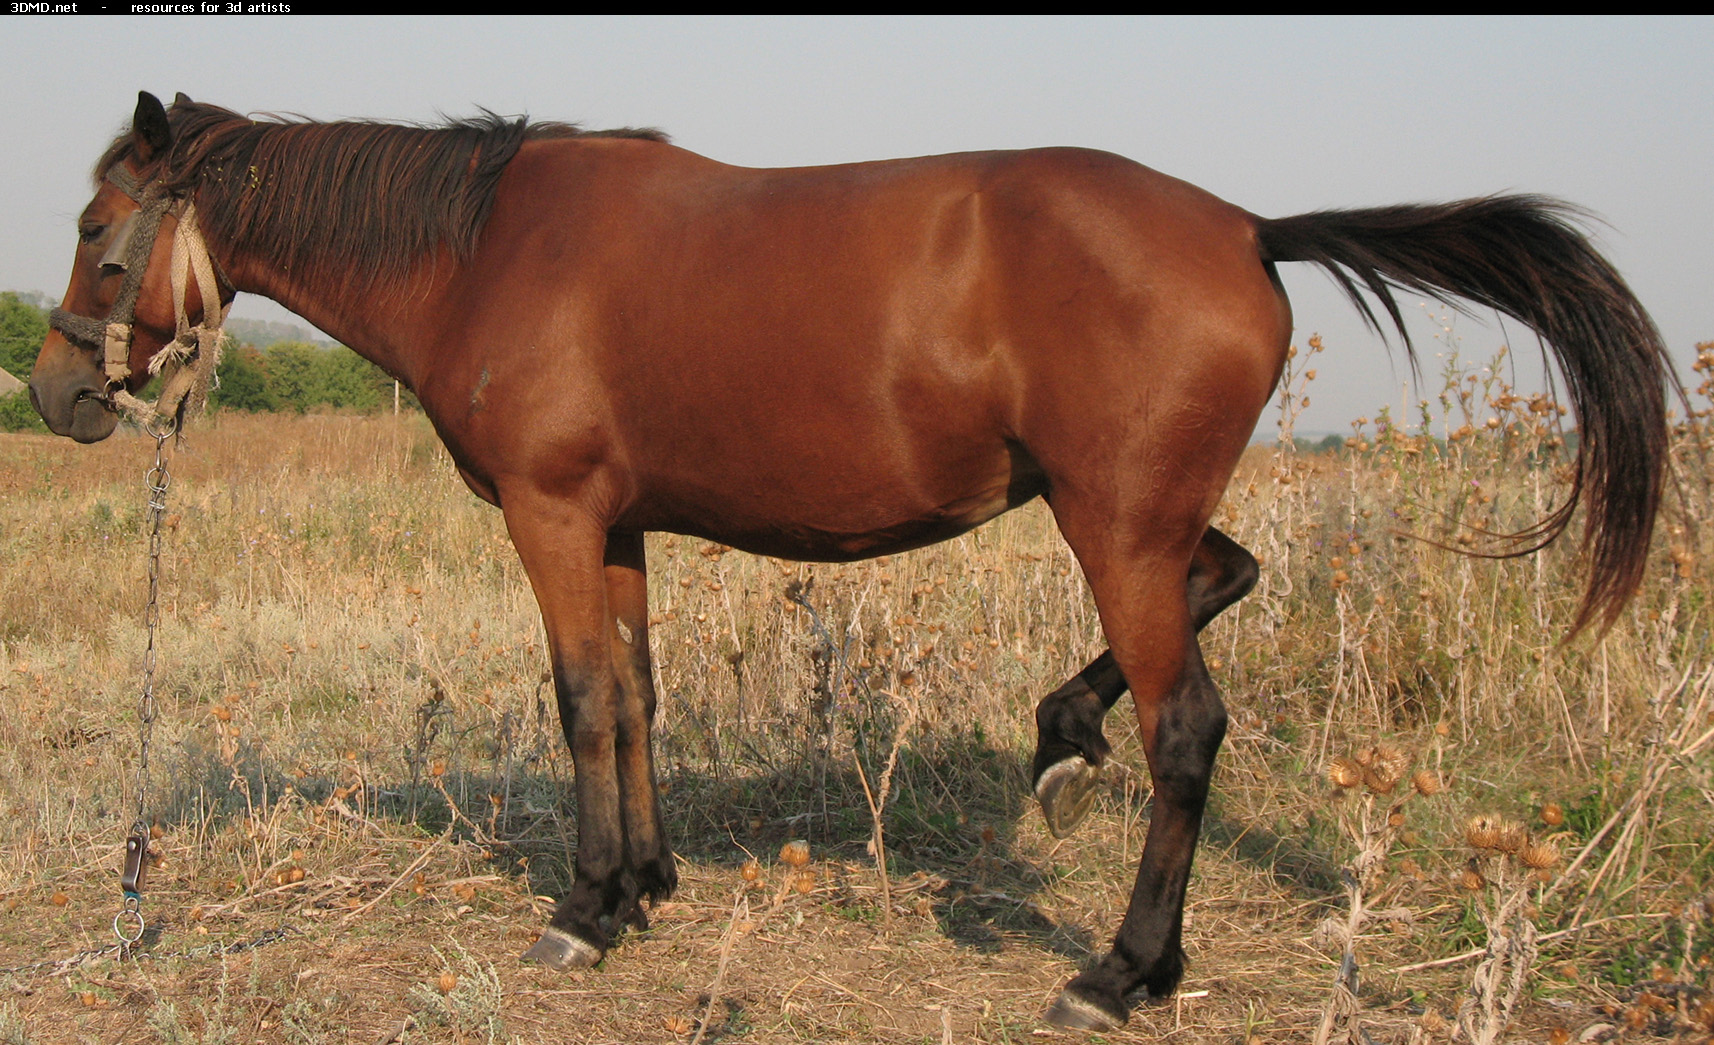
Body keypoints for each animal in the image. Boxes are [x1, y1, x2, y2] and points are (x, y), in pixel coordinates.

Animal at [33, 89, 1666, 1027]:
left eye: (102, 226)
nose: (54, 396)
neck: (485, 249)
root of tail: (1248, 229)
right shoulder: (616, 522)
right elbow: (636, 695)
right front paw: (643, 883)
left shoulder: (549, 514)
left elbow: (580, 700)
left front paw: (582, 911)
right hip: (1140, 519)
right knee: (1230, 575)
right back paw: (1060, 740)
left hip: (1111, 525)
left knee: (1187, 728)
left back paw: (1121, 970)